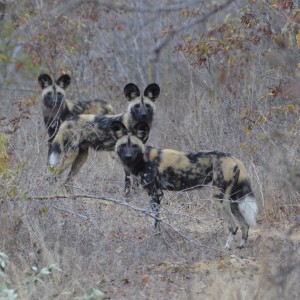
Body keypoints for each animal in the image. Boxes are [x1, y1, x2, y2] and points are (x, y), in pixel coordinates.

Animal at [112, 120, 258, 250]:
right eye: (123, 145)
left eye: (134, 146)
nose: (128, 156)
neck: (142, 159)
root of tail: (233, 158)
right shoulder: (154, 196)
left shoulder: (156, 195)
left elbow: (156, 222)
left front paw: (157, 239)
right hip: (233, 201)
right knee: (245, 224)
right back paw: (242, 245)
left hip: (220, 198)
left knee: (234, 226)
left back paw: (226, 247)